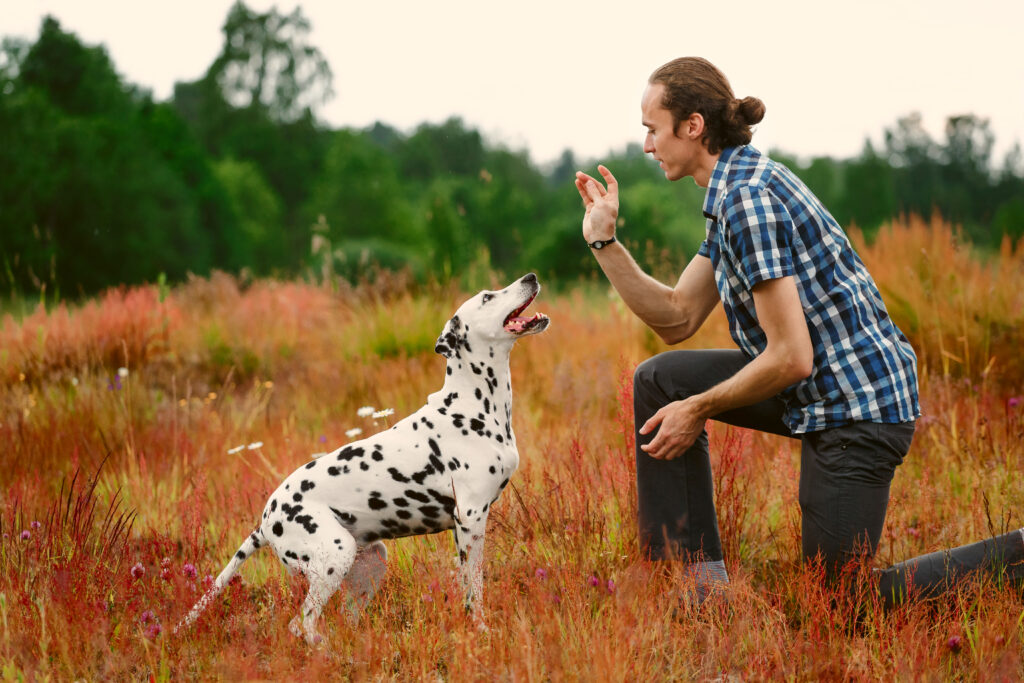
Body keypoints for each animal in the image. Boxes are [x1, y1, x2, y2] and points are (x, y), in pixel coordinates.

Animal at [176, 274, 548, 647]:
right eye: (487, 297)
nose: (530, 277)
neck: (473, 404)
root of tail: (266, 521)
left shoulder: (463, 529)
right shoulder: (470, 520)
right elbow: (475, 589)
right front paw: (480, 630)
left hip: (370, 563)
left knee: (344, 619)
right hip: (334, 557)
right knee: (302, 624)